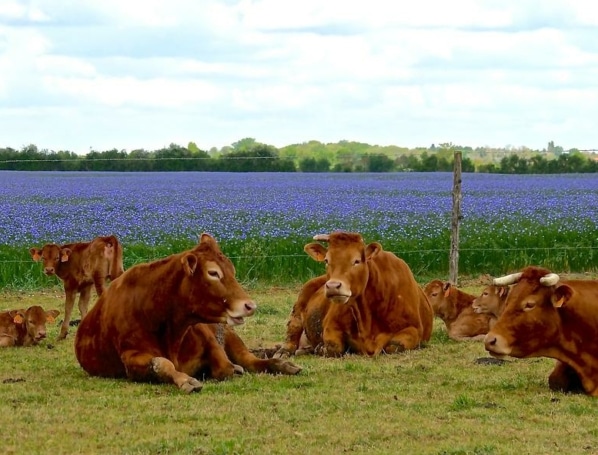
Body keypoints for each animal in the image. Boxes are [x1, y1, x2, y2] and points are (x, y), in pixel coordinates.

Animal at [75, 233, 302, 394]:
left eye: (232, 270)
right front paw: (186, 380)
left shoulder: (207, 336)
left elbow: (226, 367)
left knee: (251, 360)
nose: (250, 305)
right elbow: (162, 363)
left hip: (231, 335)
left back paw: (283, 364)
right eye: (213, 273)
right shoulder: (131, 358)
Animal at [274, 233, 434, 358]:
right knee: (293, 328)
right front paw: (320, 348)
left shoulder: (414, 328)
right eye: (326, 260)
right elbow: (334, 346)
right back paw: (284, 351)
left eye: (357, 261)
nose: (333, 286)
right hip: (301, 299)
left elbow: (394, 345)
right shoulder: (331, 325)